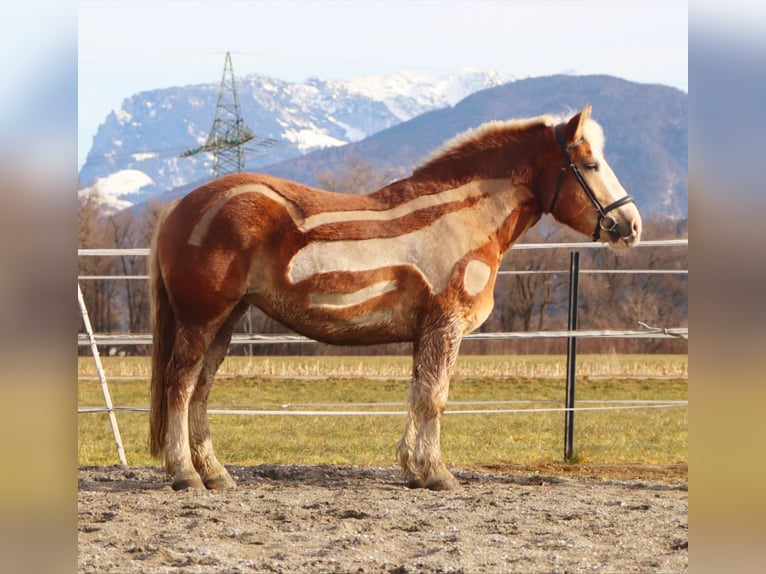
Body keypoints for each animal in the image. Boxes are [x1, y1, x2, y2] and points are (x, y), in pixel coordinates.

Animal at [150, 104, 640, 490]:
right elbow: (435, 398)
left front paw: (414, 469)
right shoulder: (445, 326)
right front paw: (437, 474)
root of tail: (180, 206)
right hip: (202, 319)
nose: (631, 225)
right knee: (180, 385)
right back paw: (186, 475)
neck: (461, 214)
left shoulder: (427, 333)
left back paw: (215, 474)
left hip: (227, 320)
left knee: (201, 390)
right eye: (590, 164)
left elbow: (419, 395)